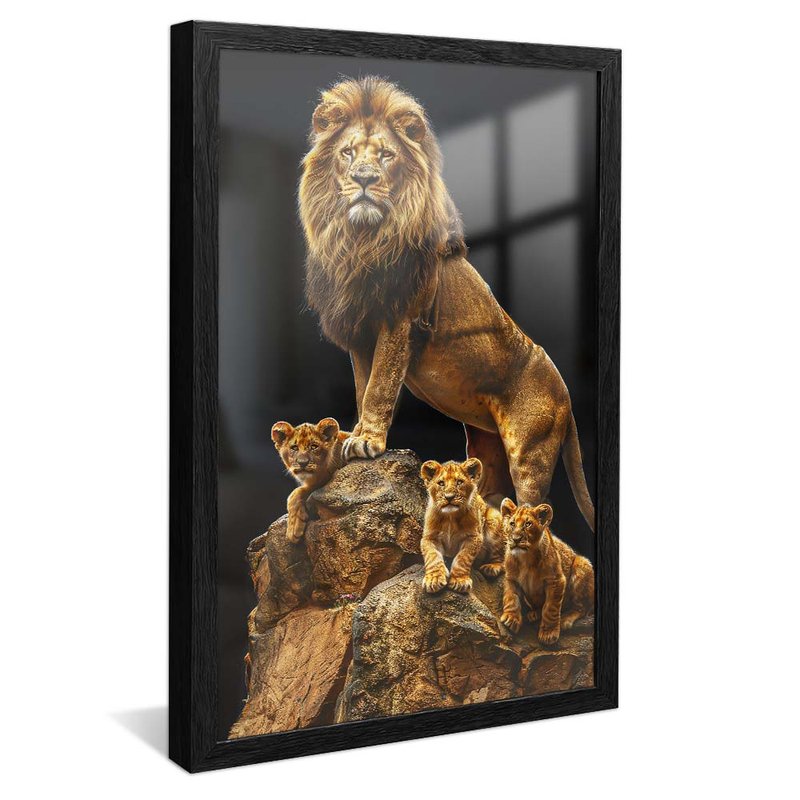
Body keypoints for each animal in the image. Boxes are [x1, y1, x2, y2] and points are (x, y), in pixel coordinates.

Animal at [299, 76, 594, 531]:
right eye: (347, 152)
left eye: (385, 155)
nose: (364, 179)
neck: (362, 239)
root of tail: (566, 394)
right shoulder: (360, 326)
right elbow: (363, 384)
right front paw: (354, 435)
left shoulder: (400, 319)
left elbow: (380, 385)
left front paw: (367, 440)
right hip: (487, 447)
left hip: (531, 452)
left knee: (536, 510)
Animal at [419, 458, 505, 594]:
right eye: (441, 483)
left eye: (459, 482)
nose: (449, 497)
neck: (450, 517)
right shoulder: (429, 537)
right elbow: (432, 557)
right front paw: (434, 579)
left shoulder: (474, 537)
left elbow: (463, 558)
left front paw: (459, 581)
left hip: (494, 518)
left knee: (502, 558)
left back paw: (491, 567)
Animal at [498, 499, 594, 644]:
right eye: (512, 523)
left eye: (528, 524)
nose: (515, 539)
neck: (526, 558)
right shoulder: (511, 577)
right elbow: (511, 597)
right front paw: (511, 618)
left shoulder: (556, 580)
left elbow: (550, 608)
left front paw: (548, 634)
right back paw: (534, 614)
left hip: (581, 564)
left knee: (582, 607)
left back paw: (565, 619)